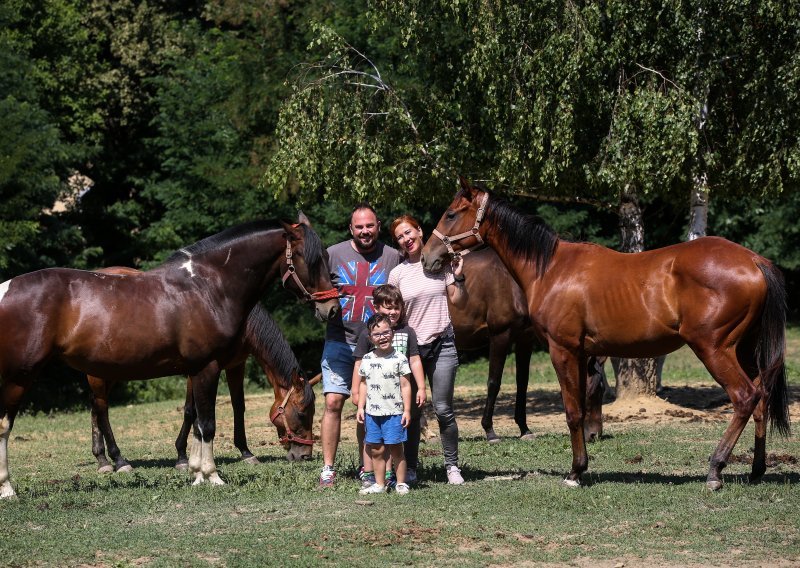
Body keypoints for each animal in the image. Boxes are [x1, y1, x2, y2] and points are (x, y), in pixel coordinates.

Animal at [88, 302, 322, 474]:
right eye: (302, 413)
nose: (305, 455)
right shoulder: (200, 369)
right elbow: (191, 410)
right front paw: (183, 456)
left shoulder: (235, 365)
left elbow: (238, 406)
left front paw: (245, 452)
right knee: (102, 409)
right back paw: (118, 460)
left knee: (95, 407)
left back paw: (102, 459)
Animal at [450, 248, 608, 444]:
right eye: (592, 391)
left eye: (602, 390)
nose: (595, 434)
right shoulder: (500, 336)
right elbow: (494, 382)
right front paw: (489, 431)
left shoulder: (525, 338)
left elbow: (522, 383)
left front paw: (524, 429)